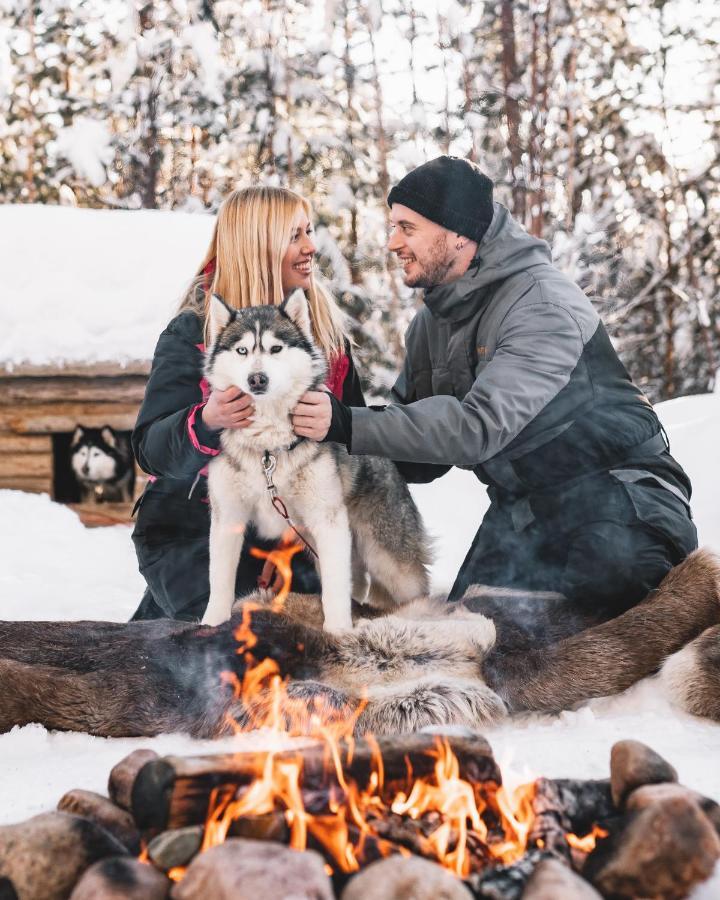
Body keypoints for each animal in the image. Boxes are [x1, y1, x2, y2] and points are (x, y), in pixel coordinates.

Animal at [200, 296, 430, 632]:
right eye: (242, 350)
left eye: (276, 348)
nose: (257, 378)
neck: (268, 448)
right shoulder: (227, 516)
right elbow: (219, 581)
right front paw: (211, 623)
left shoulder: (327, 521)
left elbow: (335, 589)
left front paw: (338, 630)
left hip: (387, 559)